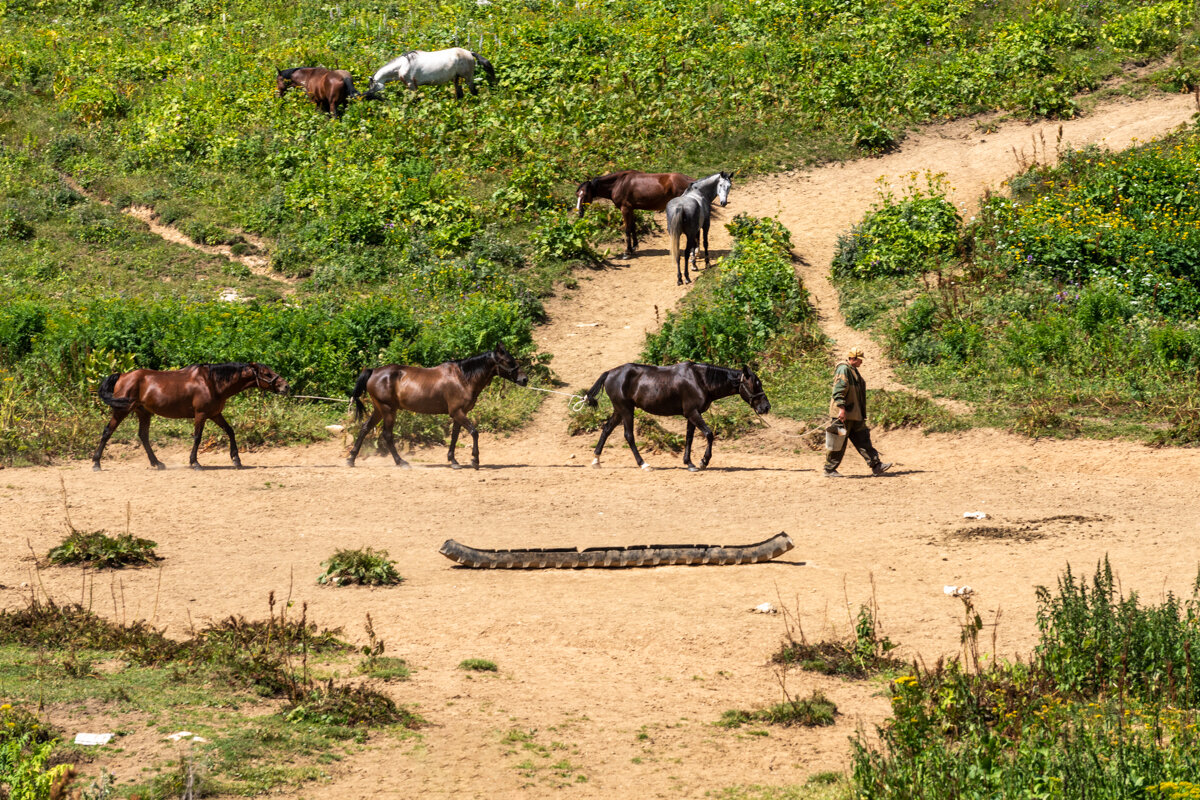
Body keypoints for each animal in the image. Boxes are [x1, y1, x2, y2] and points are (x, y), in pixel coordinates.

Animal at [92, 362, 289, 470]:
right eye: (267, 373)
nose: (285, 386)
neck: (212, 383)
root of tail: (122, 376)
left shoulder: (215, 414)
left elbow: (230, 431)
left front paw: (236, 459)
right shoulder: (201, 414)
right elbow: (197, 438)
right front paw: (195, 463)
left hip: (144, 412)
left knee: (143, 436)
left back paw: (158, 463)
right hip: (121, 411)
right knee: (107, 432)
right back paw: (96, 464)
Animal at [345, 343, 528, 470]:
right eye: (508, 361)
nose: (524, 379)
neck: (463, 378)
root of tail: (374, 371)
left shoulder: (458, 414)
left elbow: (454, 437)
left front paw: (453, 460)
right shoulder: (458, 412)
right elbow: (474, 432)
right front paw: (475, 460)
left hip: (379, 410)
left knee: (364, 428)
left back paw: (351, 459)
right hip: (388, 410)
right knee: (387, 435)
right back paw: (401, 462)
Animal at [580, 362, 768, 470]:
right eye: (756, 384)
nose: (766, 407)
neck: (700, 380)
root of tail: (610, 373)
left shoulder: (692, 414)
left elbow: (689, 438)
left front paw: (689, 463)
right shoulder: (692, 412)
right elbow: (709, 434)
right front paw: (703, 461)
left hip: (619, 410)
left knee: (606, 429)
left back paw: (596, 461)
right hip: (626, 410)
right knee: (629, 436)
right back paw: (643, 464)